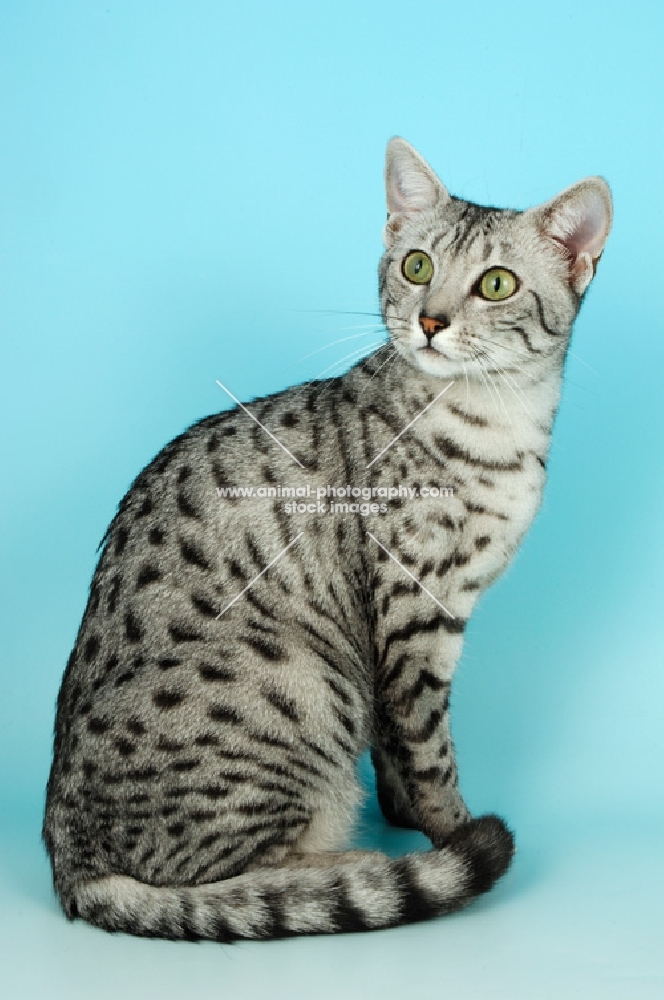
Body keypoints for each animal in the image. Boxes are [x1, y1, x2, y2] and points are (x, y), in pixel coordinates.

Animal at [41, 137, 612, 940]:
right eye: (417, 267)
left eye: (496, 284)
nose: (430, 322)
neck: (501, 423)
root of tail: (68, 861)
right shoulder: (414, 613)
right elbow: (427, 749)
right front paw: (449, 833)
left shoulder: (410, 630)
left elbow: (397, 746)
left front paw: (407, 820)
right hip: (307, 681)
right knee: (227, 879)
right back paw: (349, 866)